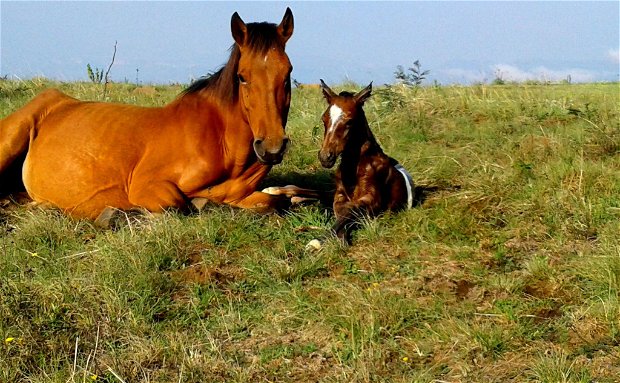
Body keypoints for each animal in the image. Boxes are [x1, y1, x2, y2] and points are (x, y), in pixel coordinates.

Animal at [0, 7, 296, 225]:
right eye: (242, 77)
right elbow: (179, 205)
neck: (222, 142)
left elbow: (277, 201)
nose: (272, 147)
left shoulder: (244, 194)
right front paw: (117, 215)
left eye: (287, 73)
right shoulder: (146, 186)